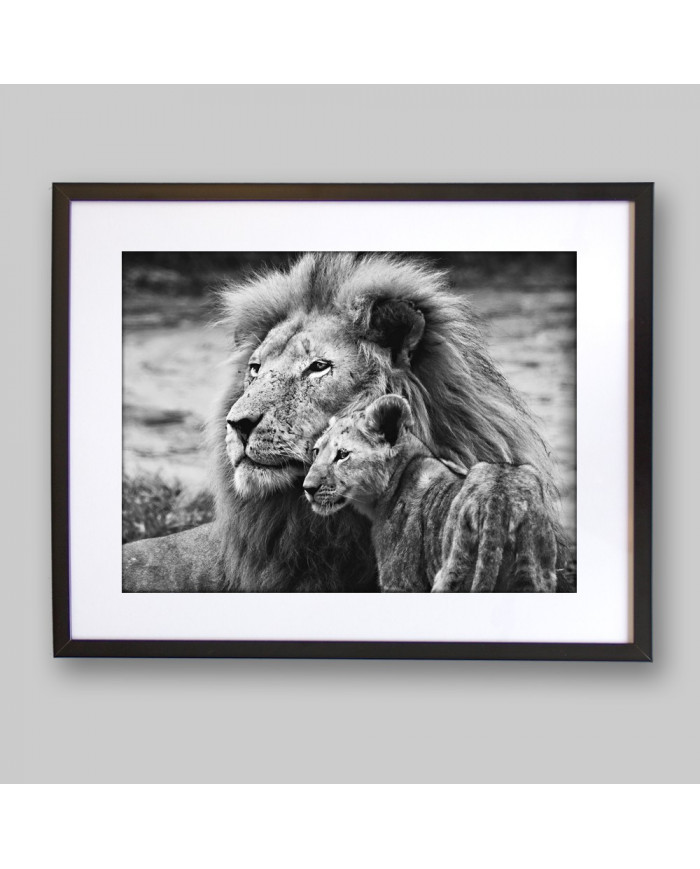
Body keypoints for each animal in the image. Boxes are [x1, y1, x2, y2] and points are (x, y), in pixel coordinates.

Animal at [303, 394, 558, 592]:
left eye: (343, 454)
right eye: (316, 451)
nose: (308, 487)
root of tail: (499, 499)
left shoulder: (401, 581)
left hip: (452, 571)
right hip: (536, 574)